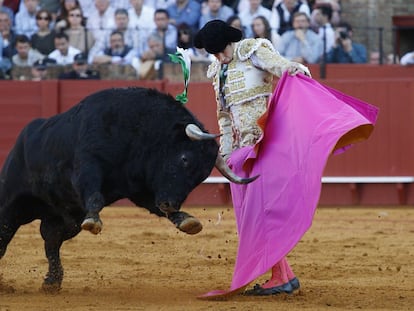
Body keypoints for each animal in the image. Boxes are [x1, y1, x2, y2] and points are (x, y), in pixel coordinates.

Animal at [0, 87, 256, 292]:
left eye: (201, 177)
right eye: (184, 159)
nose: (171, 204)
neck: (138, 132)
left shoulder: (140, 188)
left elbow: (154, 206)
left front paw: (186, 220)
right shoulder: (88, 165)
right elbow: (94, 195)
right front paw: (93, 221)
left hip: (63, 220)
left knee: (51, 241)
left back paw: (52, 282)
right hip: (10, 205)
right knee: (5, 235)